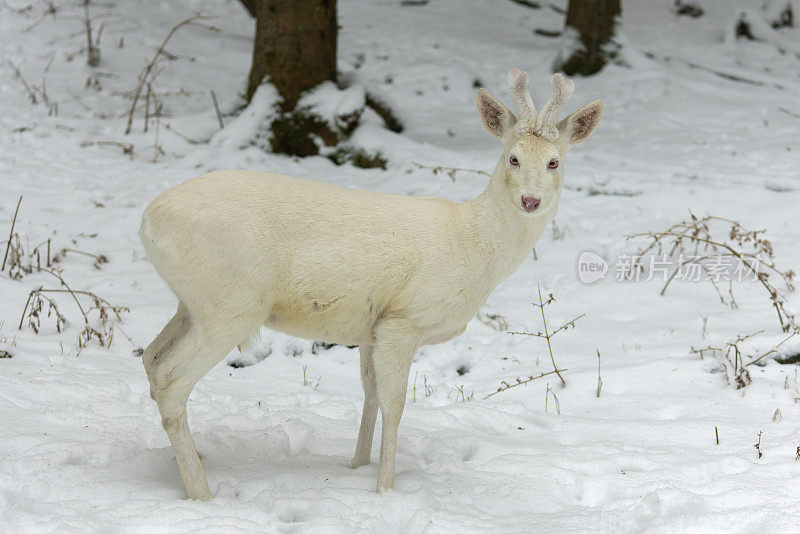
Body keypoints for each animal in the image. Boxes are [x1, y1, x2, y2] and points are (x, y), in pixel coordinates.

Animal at [139, 69, 600, 500]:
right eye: (513, 158)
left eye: (555, 162)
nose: (530, 201)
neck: (471, 246)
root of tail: (147, 221)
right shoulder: (405, 320)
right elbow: (395, 406)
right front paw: (385, 489)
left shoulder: (370, 328)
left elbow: (371, 395)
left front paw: (357, 466)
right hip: (231, 303)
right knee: (172, 378)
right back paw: (201, 491)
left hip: (193, 302)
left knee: (150, 357)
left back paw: (190, 459)